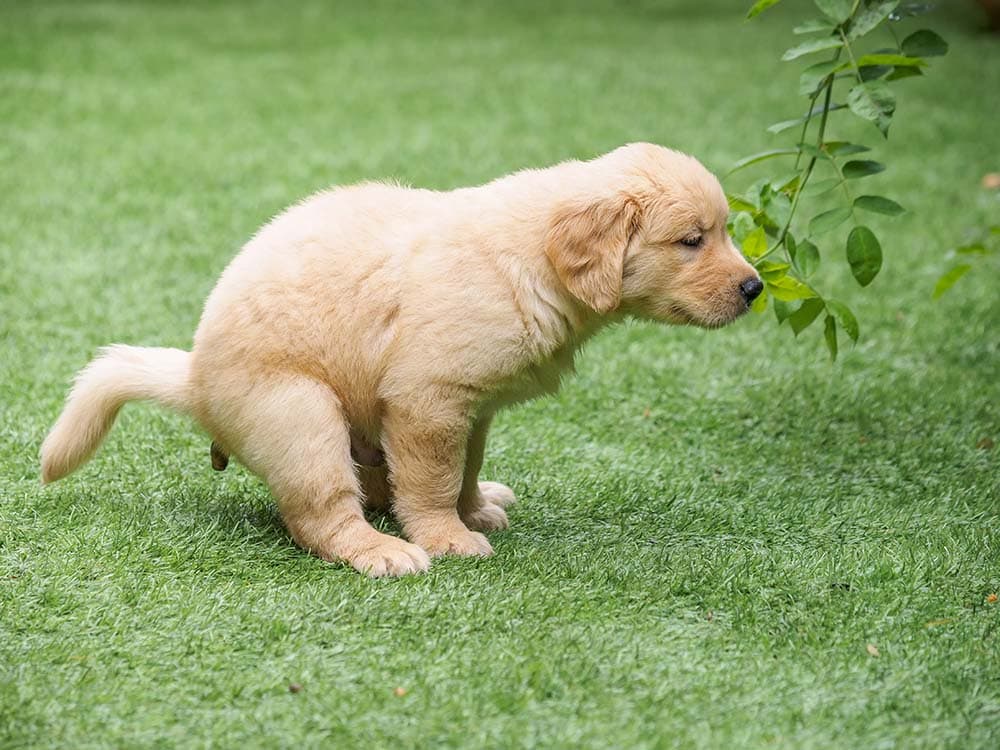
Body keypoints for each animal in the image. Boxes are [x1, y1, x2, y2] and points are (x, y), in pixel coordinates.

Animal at [37, 144, 756, 580]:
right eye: (692, 240)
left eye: (722, 231)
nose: (754, 288)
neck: (531, 260)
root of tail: (195, 378)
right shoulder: (429, 399)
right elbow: (434, 480)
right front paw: (446, 536)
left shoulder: (471, 407)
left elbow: (465, 468)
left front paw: (473, 508)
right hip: (300, 414)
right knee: (321, 515)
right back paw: (384, 551)